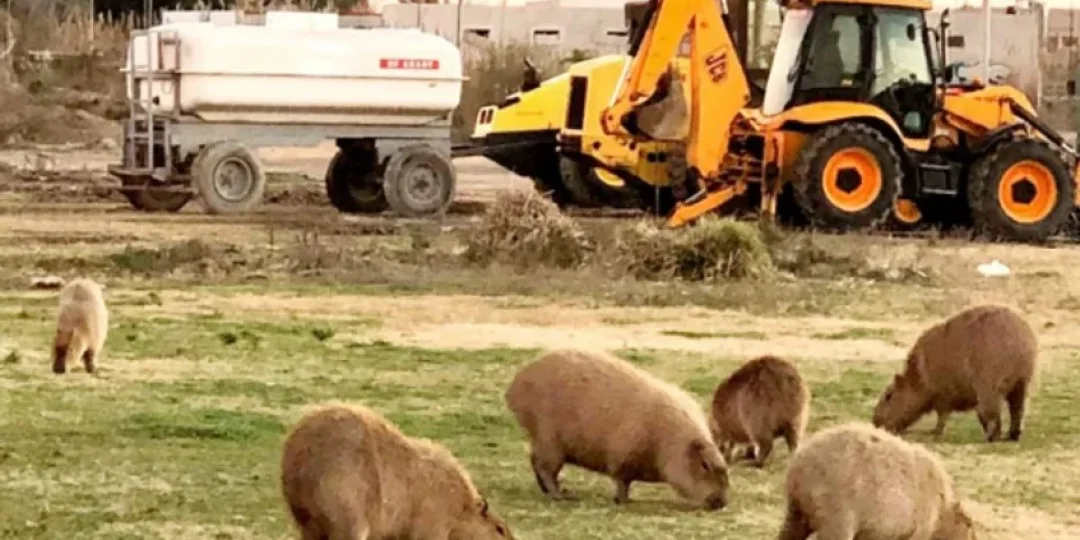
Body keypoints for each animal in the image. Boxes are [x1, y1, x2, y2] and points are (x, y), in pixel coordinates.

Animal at [504, 348, 729, 509]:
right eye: (705, 466)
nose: (721, 502)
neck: (669, 440)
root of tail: (514, 386)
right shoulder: (622, 456)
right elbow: (622, 481)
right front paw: (624, 500)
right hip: (550, 440)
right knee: (544, 467)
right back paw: (562, 495)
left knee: (535, 462)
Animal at [873, 304, 1038, 442]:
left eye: (888, 396)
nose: (875, 422)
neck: (918, 375)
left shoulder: (943, 394)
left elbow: (942, 416)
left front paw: (934, 433)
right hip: (1022, 382)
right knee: (1017, 409)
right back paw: (1012, 435)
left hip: (989, 384)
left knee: (992, 413)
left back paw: (991, 436)